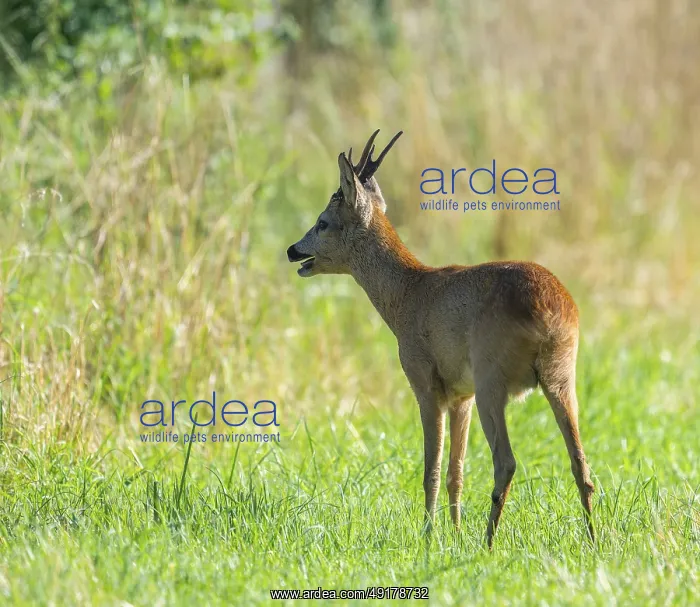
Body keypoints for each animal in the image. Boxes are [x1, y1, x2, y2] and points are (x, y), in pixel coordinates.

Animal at [287, 130, 595, 548]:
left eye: (322, 222)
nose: (292, 251)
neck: (409, 292)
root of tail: (550, 308)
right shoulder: (461, 397)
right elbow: (456, 472)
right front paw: (455, 533)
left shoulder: (426, 384)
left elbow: (431, 470)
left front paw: (430, 538)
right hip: (560, 379)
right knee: (581, 463)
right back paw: (595, 539)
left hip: (493, 382)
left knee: (506, 462)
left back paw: (488, 543)